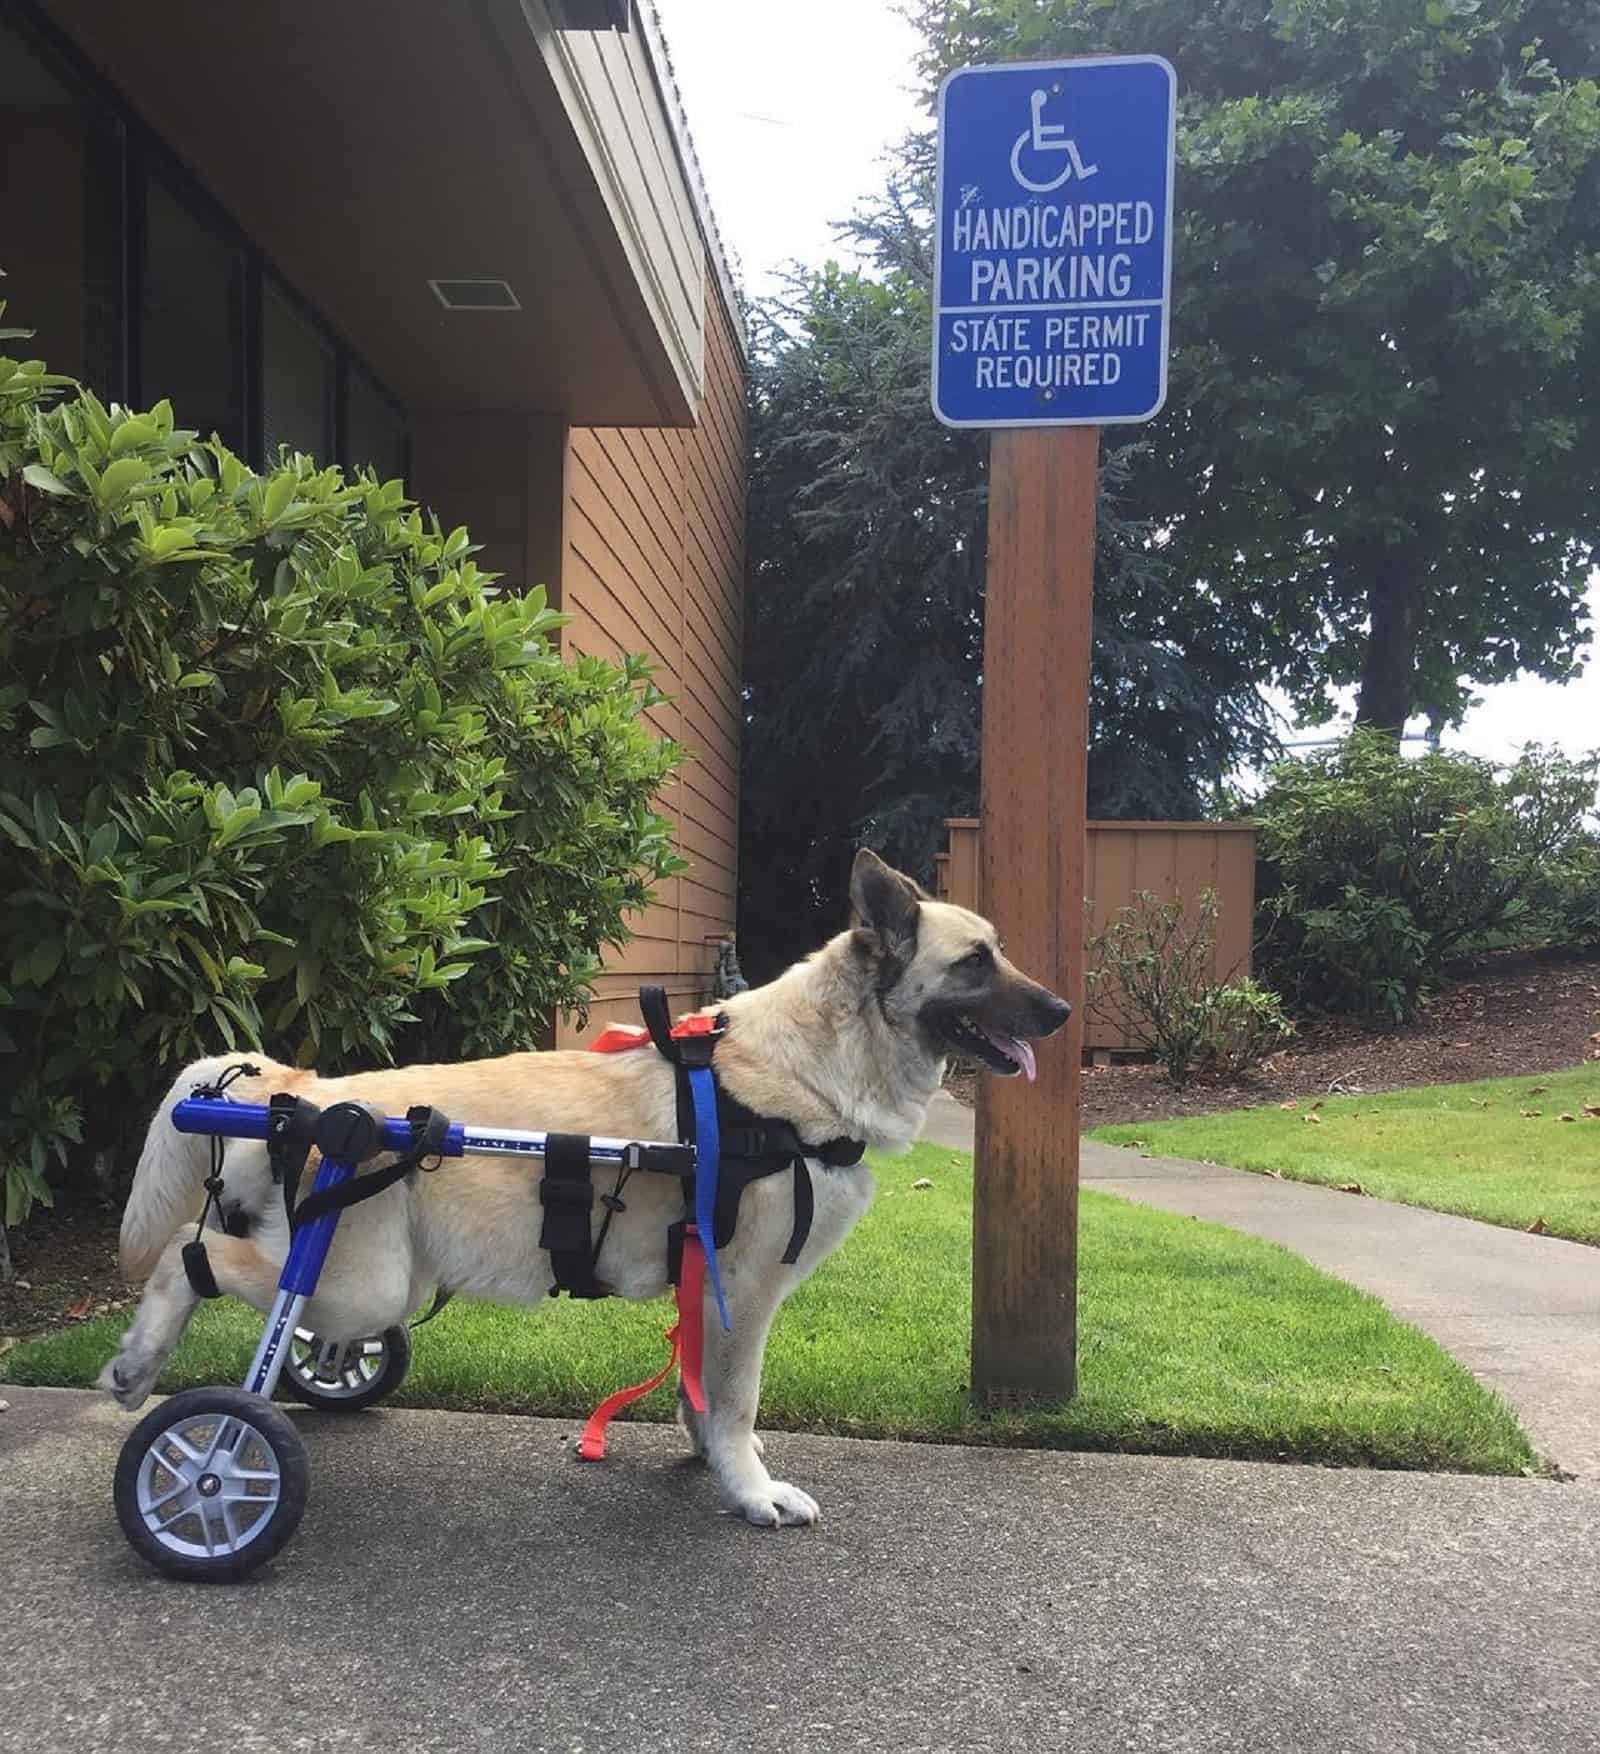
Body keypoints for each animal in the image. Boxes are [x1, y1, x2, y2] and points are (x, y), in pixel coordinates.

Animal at [106, 845, 1066, 1522]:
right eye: (975, 962)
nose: (1060, 1012)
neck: (814, 1064)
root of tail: (302, 1093)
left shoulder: (707, 1291)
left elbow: (703, 1396)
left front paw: (709, 1458)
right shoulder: (747, 1291)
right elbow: (738, 1403)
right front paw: (750, 1490)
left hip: (362, 1288)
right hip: (366, 1282)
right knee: (189, 1257)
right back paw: (146, 1370)